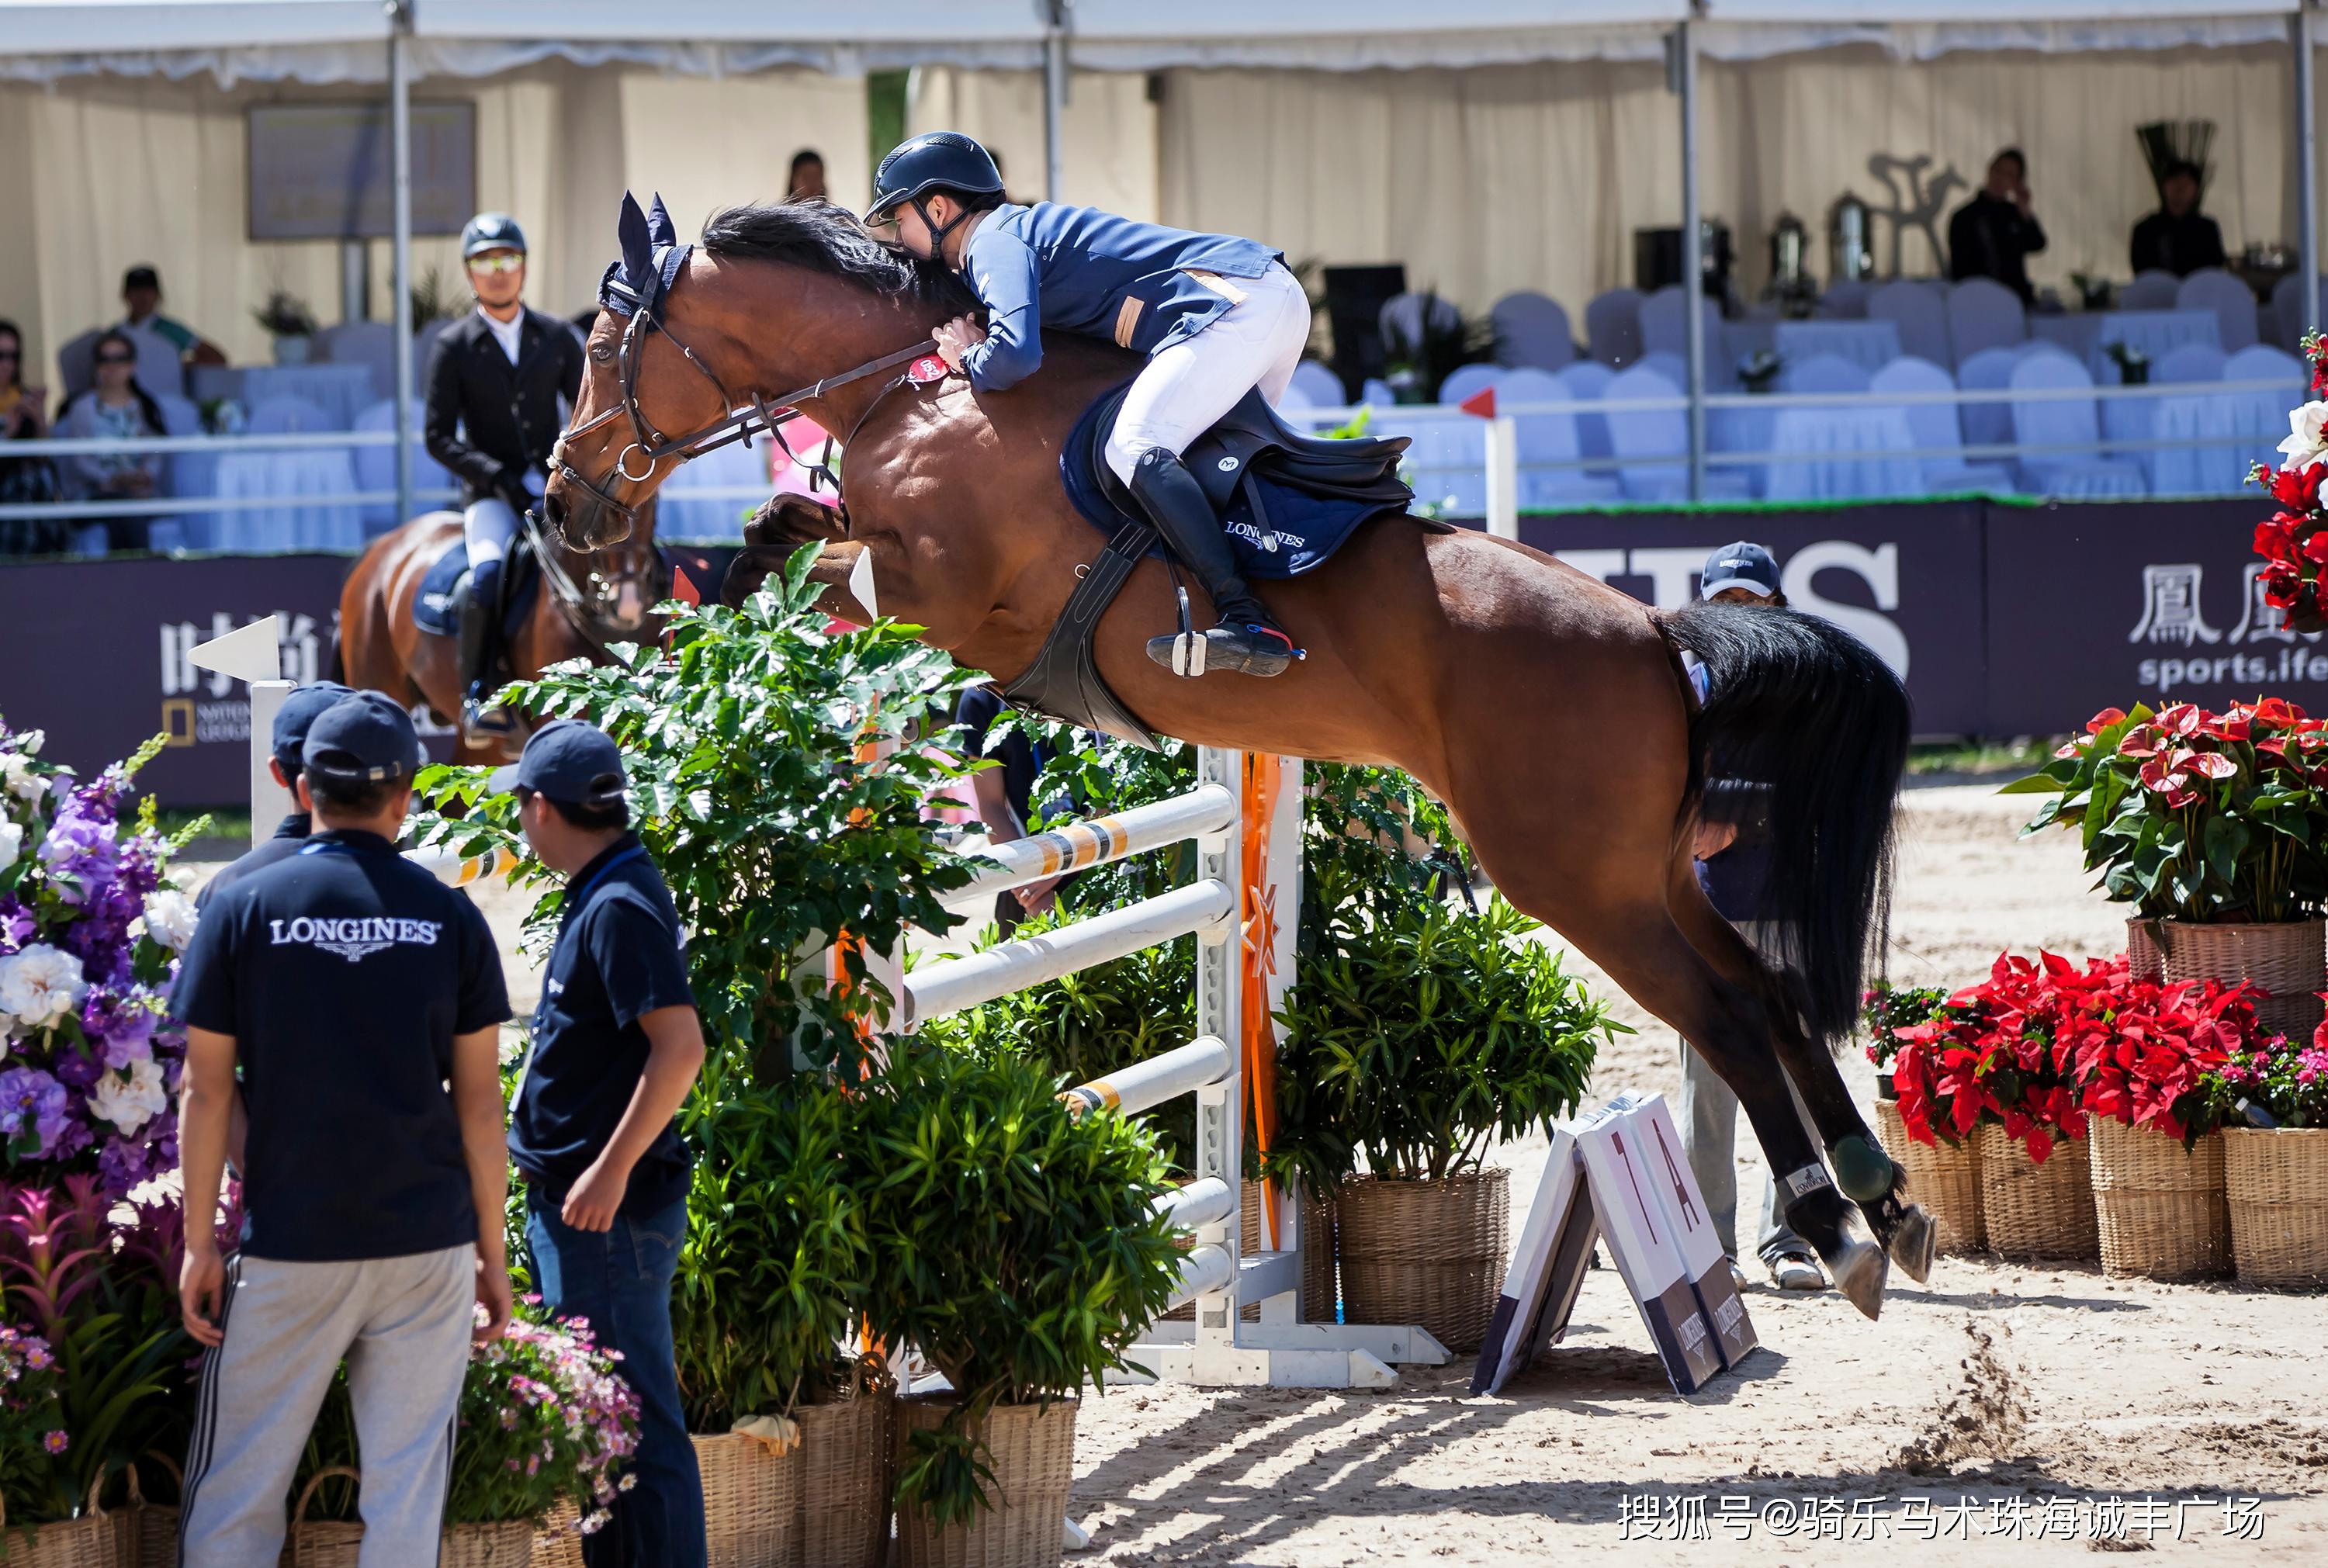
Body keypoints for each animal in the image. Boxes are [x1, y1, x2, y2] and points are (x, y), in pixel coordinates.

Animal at [545, 201, 1928, 1312]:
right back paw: (1886, 1199)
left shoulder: (933, 591)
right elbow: (785, 527)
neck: (911, 388)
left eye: (602, 353)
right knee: (1768, 987)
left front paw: (713, 640)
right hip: (1650, 869)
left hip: (1575, 880)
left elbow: (817, 562)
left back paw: (1836, 1229)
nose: (564, 506)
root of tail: (1653, 631)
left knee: (1725, 1014)